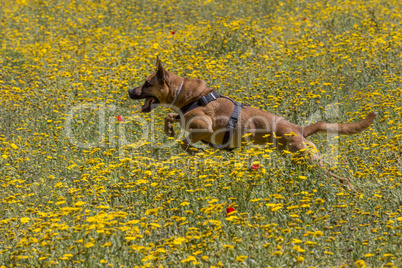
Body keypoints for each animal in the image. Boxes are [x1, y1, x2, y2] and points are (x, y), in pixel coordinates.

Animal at [128, 57, 376, 191]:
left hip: (307, 159)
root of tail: (300, 129)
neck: (188, 95)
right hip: (302, 160)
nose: (130, 91)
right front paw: (170, 129)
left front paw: (196, 151)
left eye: (147, 83)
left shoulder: (204, 126)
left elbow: (185, 142)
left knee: (339, 178)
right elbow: (170, 119)